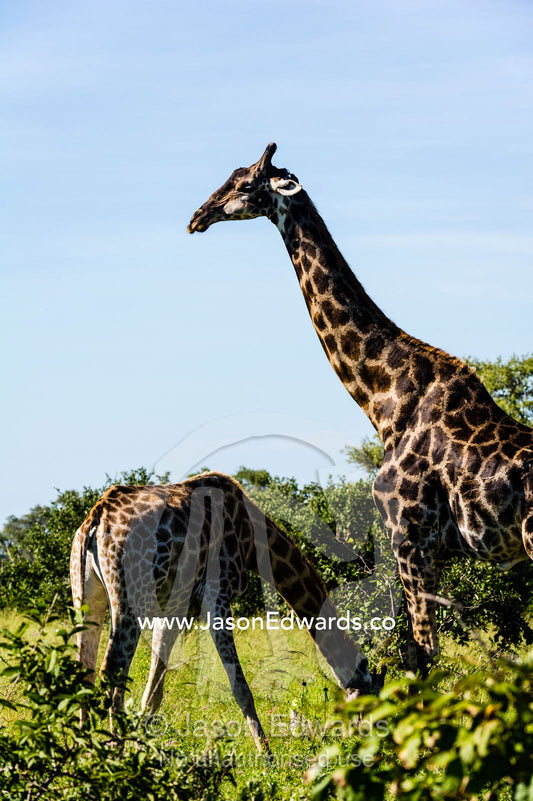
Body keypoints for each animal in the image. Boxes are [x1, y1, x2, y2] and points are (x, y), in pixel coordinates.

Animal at [70, 471, 382, 754]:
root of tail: (95, 521)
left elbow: (154, 690)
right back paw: (111, 752)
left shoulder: (174, 608)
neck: (254, 540)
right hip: (129, 600)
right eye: (371, 702)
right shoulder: (216, 593)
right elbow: (241, 688)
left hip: (85, 596)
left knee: (85, 669)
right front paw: (267, 757)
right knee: (110, 669)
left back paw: (84, 750)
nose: (371, 739)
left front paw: (141, 747)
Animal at [188, 143, 533, 675]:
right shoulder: (430, 550)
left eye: (245, 184)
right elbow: (416, 650)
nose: (197, 217)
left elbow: (423, 654)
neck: (383, 399)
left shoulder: (408, 537)